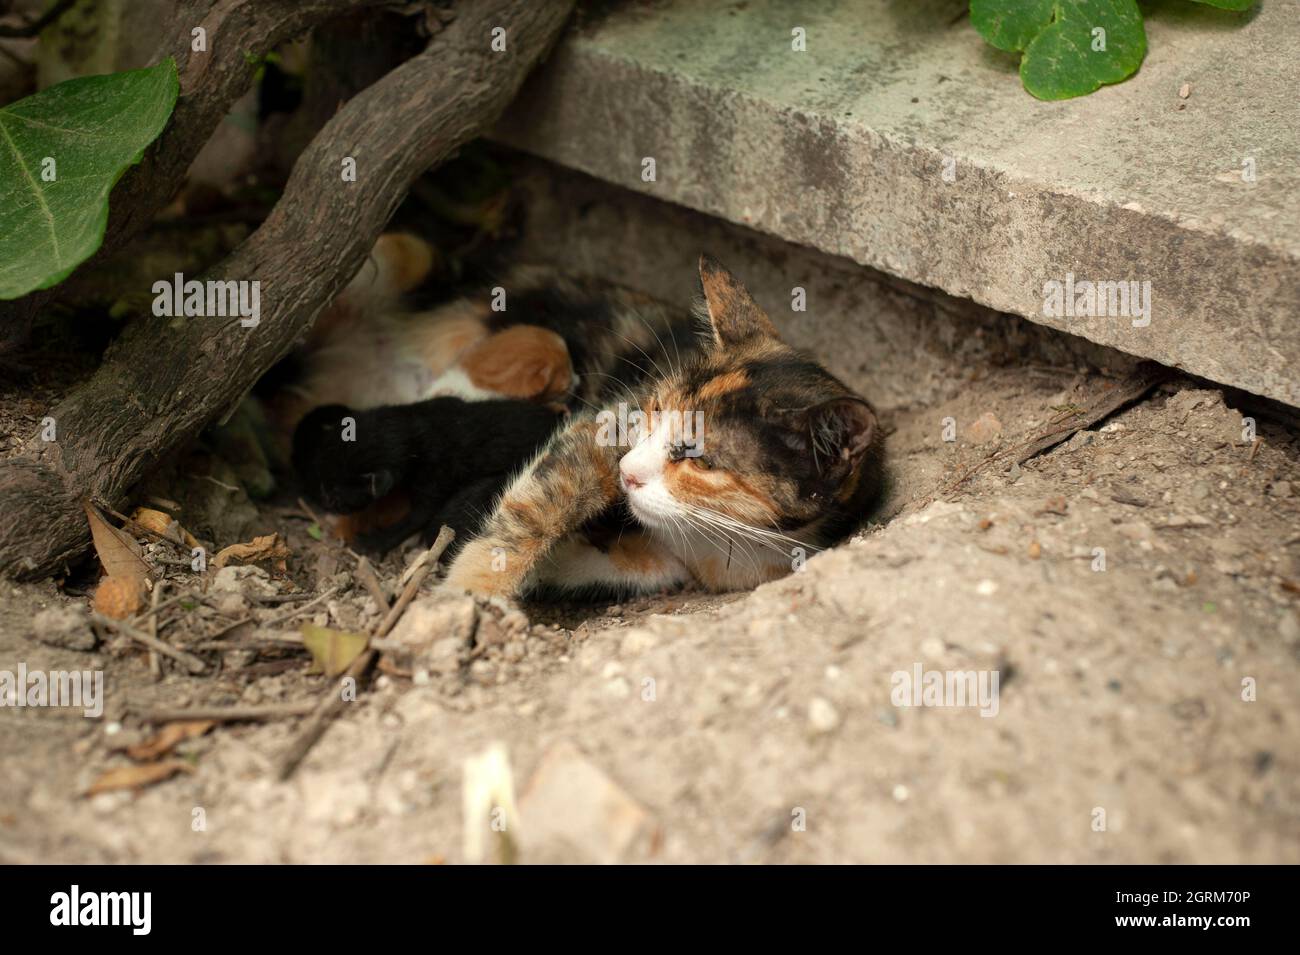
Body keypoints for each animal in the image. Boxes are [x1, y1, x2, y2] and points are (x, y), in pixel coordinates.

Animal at [295, 394, 564, 556]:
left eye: (334, 495)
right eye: (319, 461)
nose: (324, 503)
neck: (413, 430)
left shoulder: (435, 477)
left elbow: (416, 517)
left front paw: (375, 541)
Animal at [439, 254, 883, 597]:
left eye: (700, 460)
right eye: (654, 408)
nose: (627, 473)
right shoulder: (610, 425)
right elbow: (536, 505)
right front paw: (467, 594)